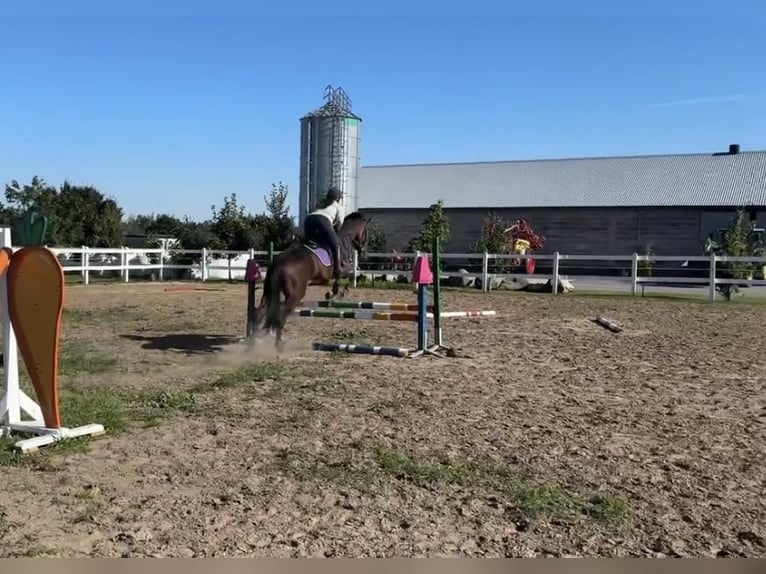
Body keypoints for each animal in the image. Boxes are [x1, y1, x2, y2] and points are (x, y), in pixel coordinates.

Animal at [250, 211, 371, 350]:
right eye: (366, 232)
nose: (364, 254)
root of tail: (279, 262)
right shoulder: (344, 269)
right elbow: (352, 276)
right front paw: (336, 293)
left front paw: (332, 294)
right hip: (296, 294)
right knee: (281, 315)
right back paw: (279, 344)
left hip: (269, 292)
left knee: (260, 313)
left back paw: (251, 345)